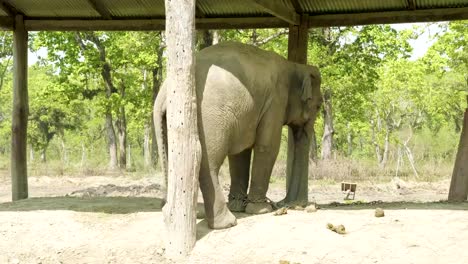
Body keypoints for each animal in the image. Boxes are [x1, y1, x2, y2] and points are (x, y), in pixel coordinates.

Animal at [154, 41, 322, 229]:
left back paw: (185, 213)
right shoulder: (276, 100)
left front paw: (238, 205)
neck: (293, 66)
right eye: (319, 106)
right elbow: (267, 146)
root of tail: (165, 92)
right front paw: (260, 210)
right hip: (210, 116)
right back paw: (226, 222)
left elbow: (240, 153)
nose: (285, 204)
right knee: (208, 162)